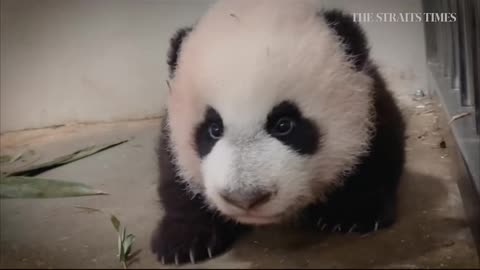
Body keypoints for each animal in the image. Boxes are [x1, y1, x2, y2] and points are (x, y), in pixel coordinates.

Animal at [151, 0, 404, 266]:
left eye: (284, 125)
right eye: (213, 129)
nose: (245, 198)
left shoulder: (369, 104)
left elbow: (377, 151)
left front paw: (352, 213)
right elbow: (173, 173)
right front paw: (183, 240)